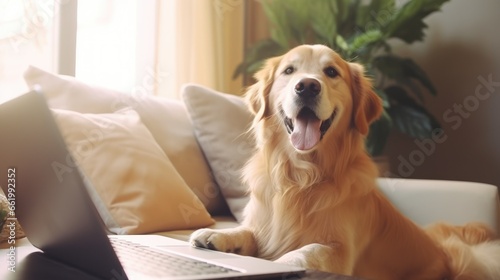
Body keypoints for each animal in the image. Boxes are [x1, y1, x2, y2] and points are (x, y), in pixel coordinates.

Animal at [188, 44, 500, 278]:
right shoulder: (264, 225)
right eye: (289, 70)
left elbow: (307, 251)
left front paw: (277, 264)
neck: (301, 175)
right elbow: (248, 231)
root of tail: (445, 252)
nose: (307, 86)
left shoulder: (340, 250)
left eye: (331, 72)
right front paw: (220, 236)